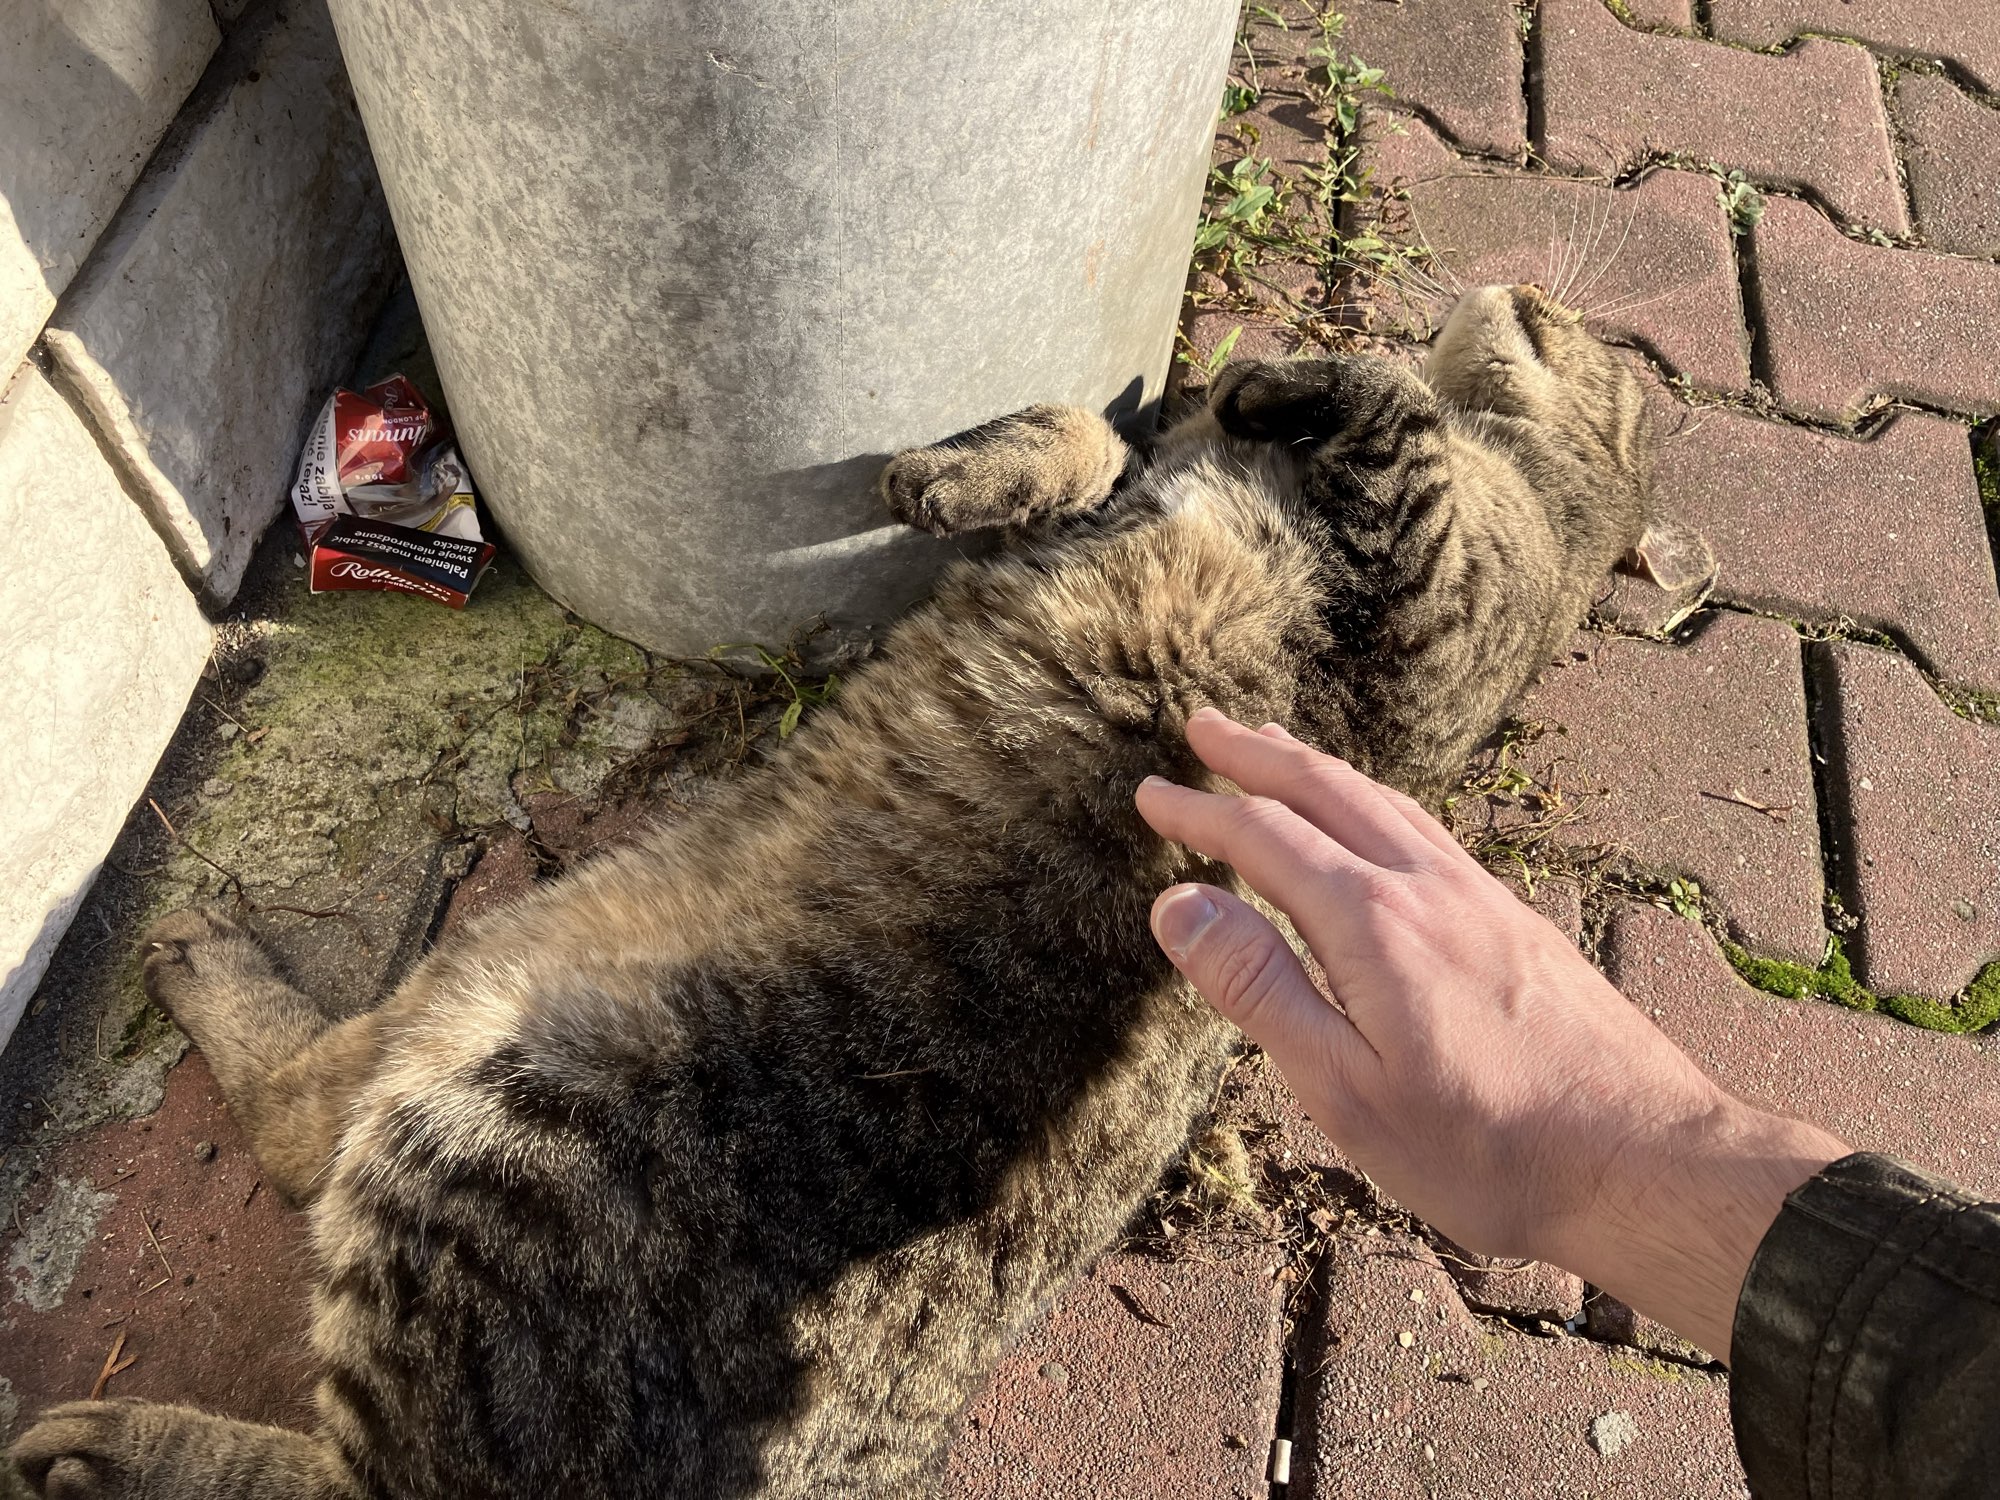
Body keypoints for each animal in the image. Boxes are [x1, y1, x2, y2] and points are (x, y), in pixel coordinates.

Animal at [11, 284, 1695, 1500]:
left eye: (1591, 346)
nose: (1539, 292)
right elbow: (1100, 439)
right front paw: (1004, 454)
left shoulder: (1428, 615)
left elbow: (1376, 411)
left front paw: (1283, 368)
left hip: (477, 1053)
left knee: (309, 1188)